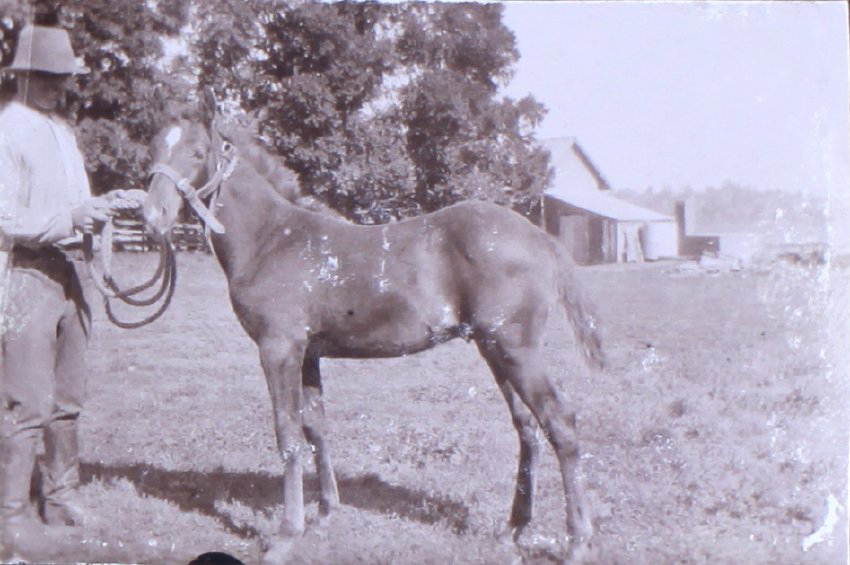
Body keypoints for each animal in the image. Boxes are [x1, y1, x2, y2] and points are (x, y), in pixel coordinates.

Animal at [142, 91, 606, 564]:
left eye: (198, 153)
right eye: (155, 149)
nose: (152, 216)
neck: (273, 239)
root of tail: (539, 236)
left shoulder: (278, 348)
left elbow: (287, 433)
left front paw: (287, 534)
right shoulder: (308, 352)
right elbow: (315, 427)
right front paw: (326, 513)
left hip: (515, 350)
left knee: (559, 422)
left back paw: (577, 542)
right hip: (494, 349)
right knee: (527, 428)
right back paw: (513, 528)